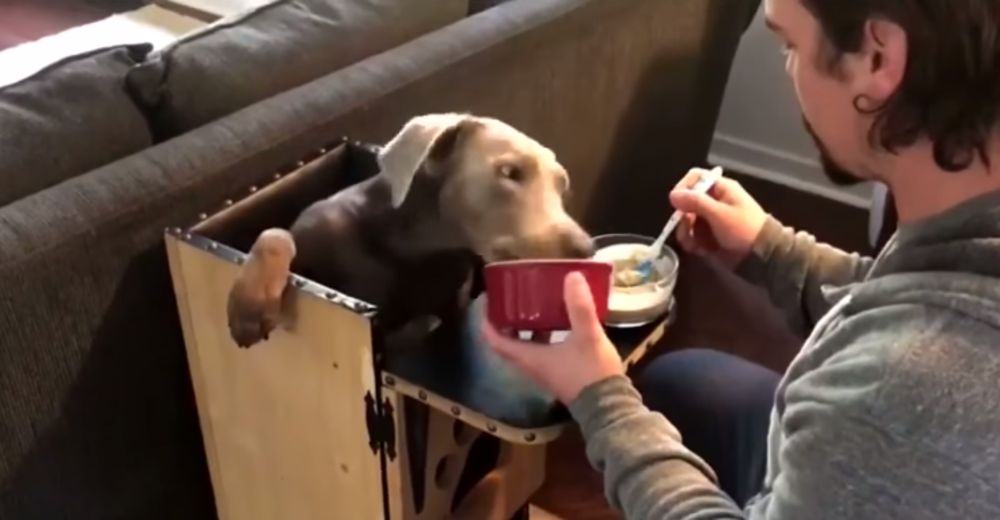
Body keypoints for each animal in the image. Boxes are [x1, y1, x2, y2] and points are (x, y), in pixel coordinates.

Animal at [227, 113, 592, 350]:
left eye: (562, 187)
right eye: (509, 172)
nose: (586, 250)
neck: (418, 248)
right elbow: (276, 233)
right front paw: (249, 307)